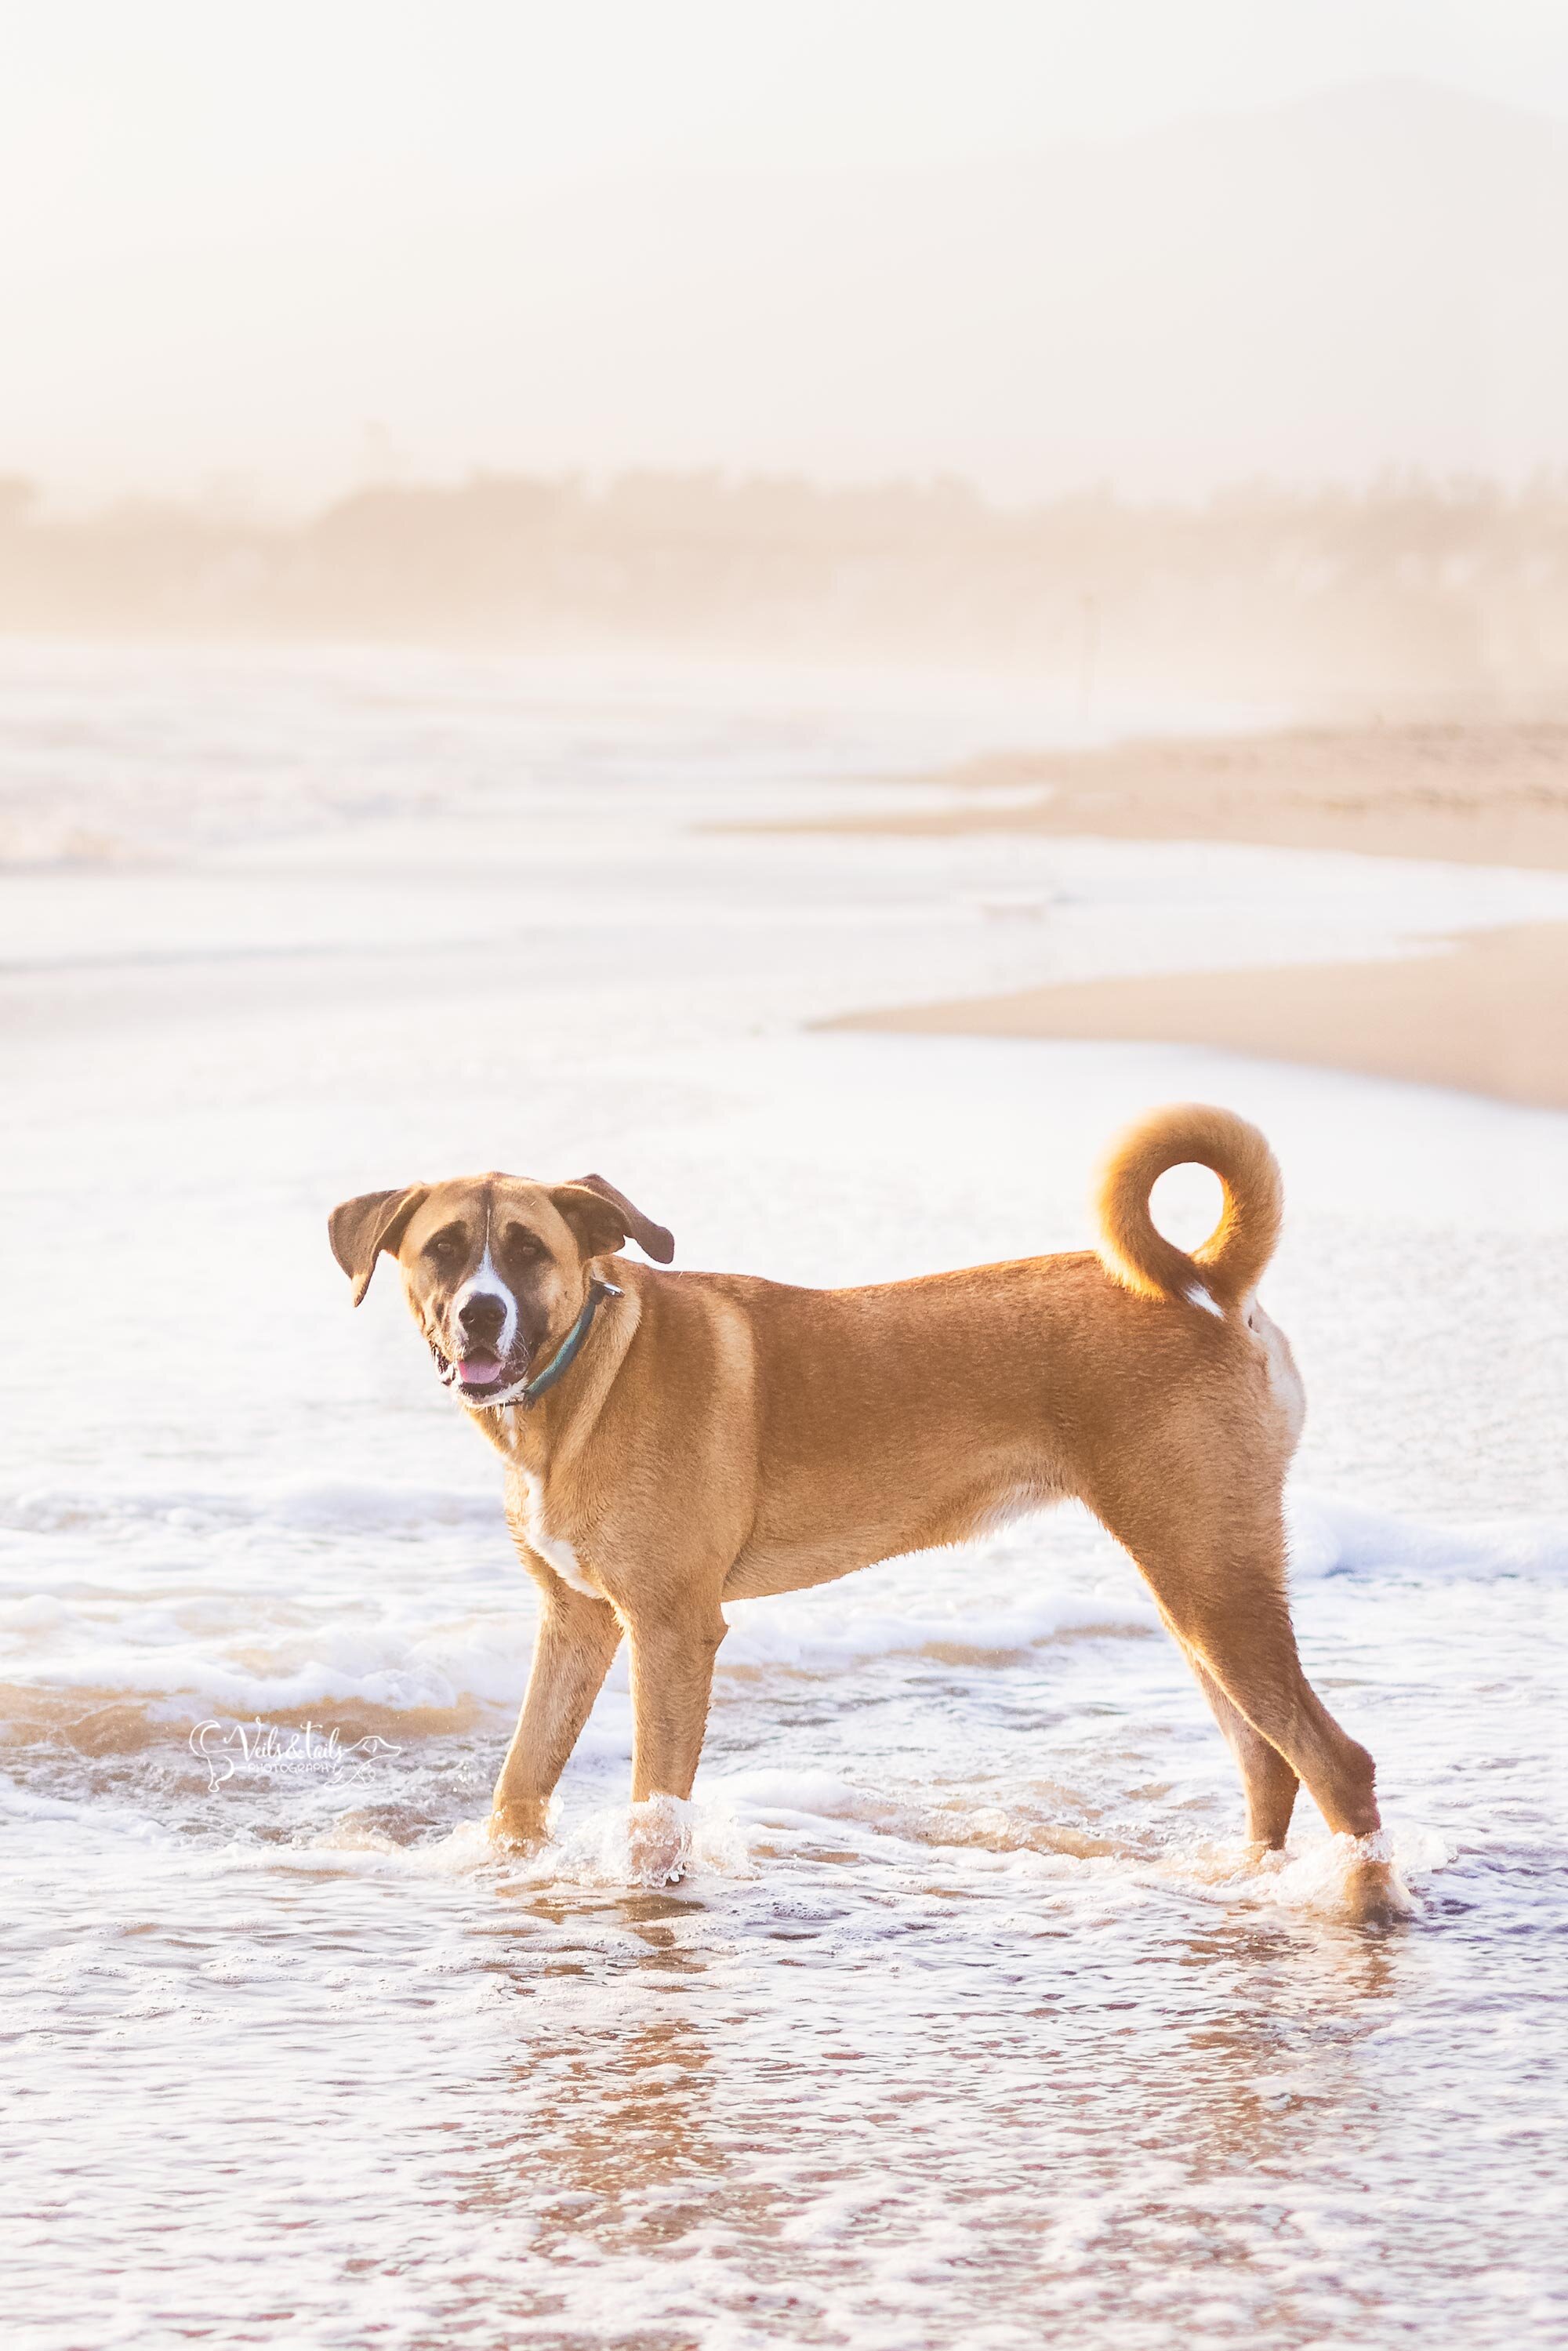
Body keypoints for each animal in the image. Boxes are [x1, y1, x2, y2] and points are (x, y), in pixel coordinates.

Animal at [331, 1100, 1410, 1909]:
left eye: (526, 1248)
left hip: (1208, 1581)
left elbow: (654, 1811)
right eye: (442, 1249)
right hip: (1194, 1587)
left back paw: (1365, 1904)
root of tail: (1205, 1281)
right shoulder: (578, 1621)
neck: (583, 1374)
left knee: (1337, 1761)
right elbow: (519, 1782)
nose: (479, 1313)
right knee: (1268, 1762)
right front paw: (498, 1870)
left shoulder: (671, 1628)